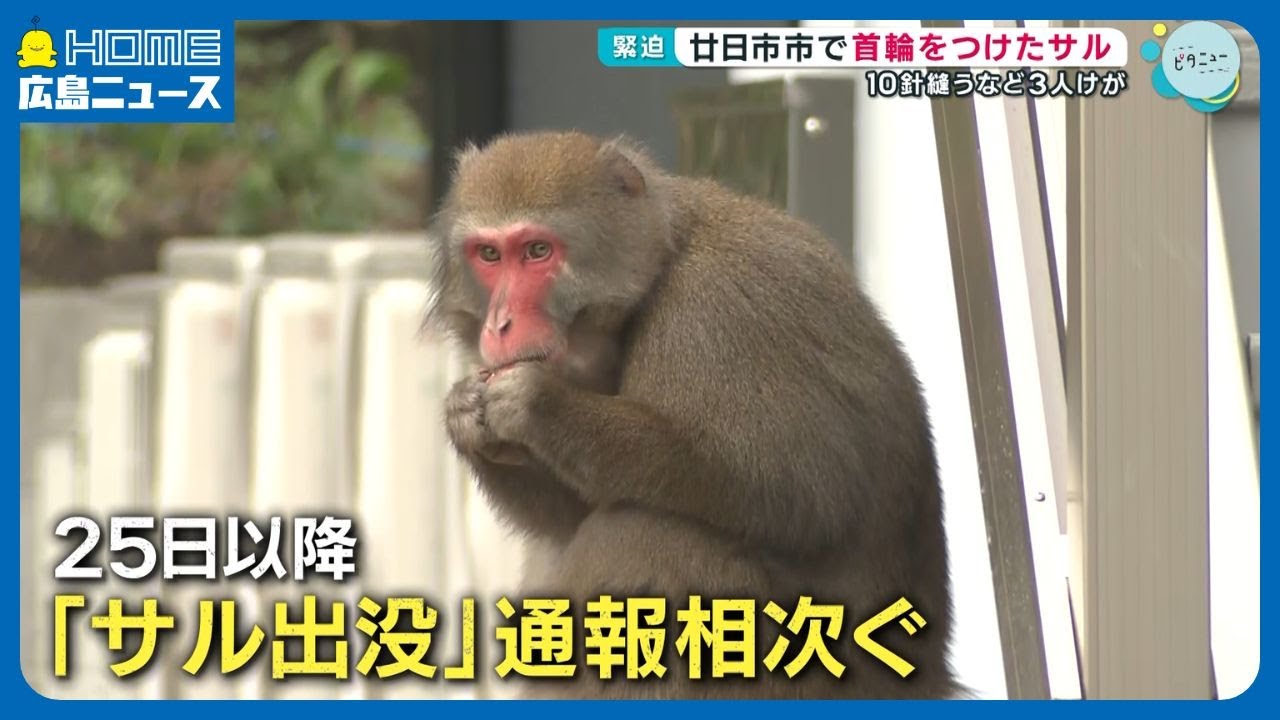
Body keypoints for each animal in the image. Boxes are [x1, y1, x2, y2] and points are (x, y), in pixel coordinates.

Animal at [424, 130, 960, 700]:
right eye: (488, 254)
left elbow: (798, 491)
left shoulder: (712, 314)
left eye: (537, 251)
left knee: (651, 533)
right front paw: (464, 414)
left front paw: (541, 406)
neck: (663, 263)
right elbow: (571, 517)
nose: (499, 325)